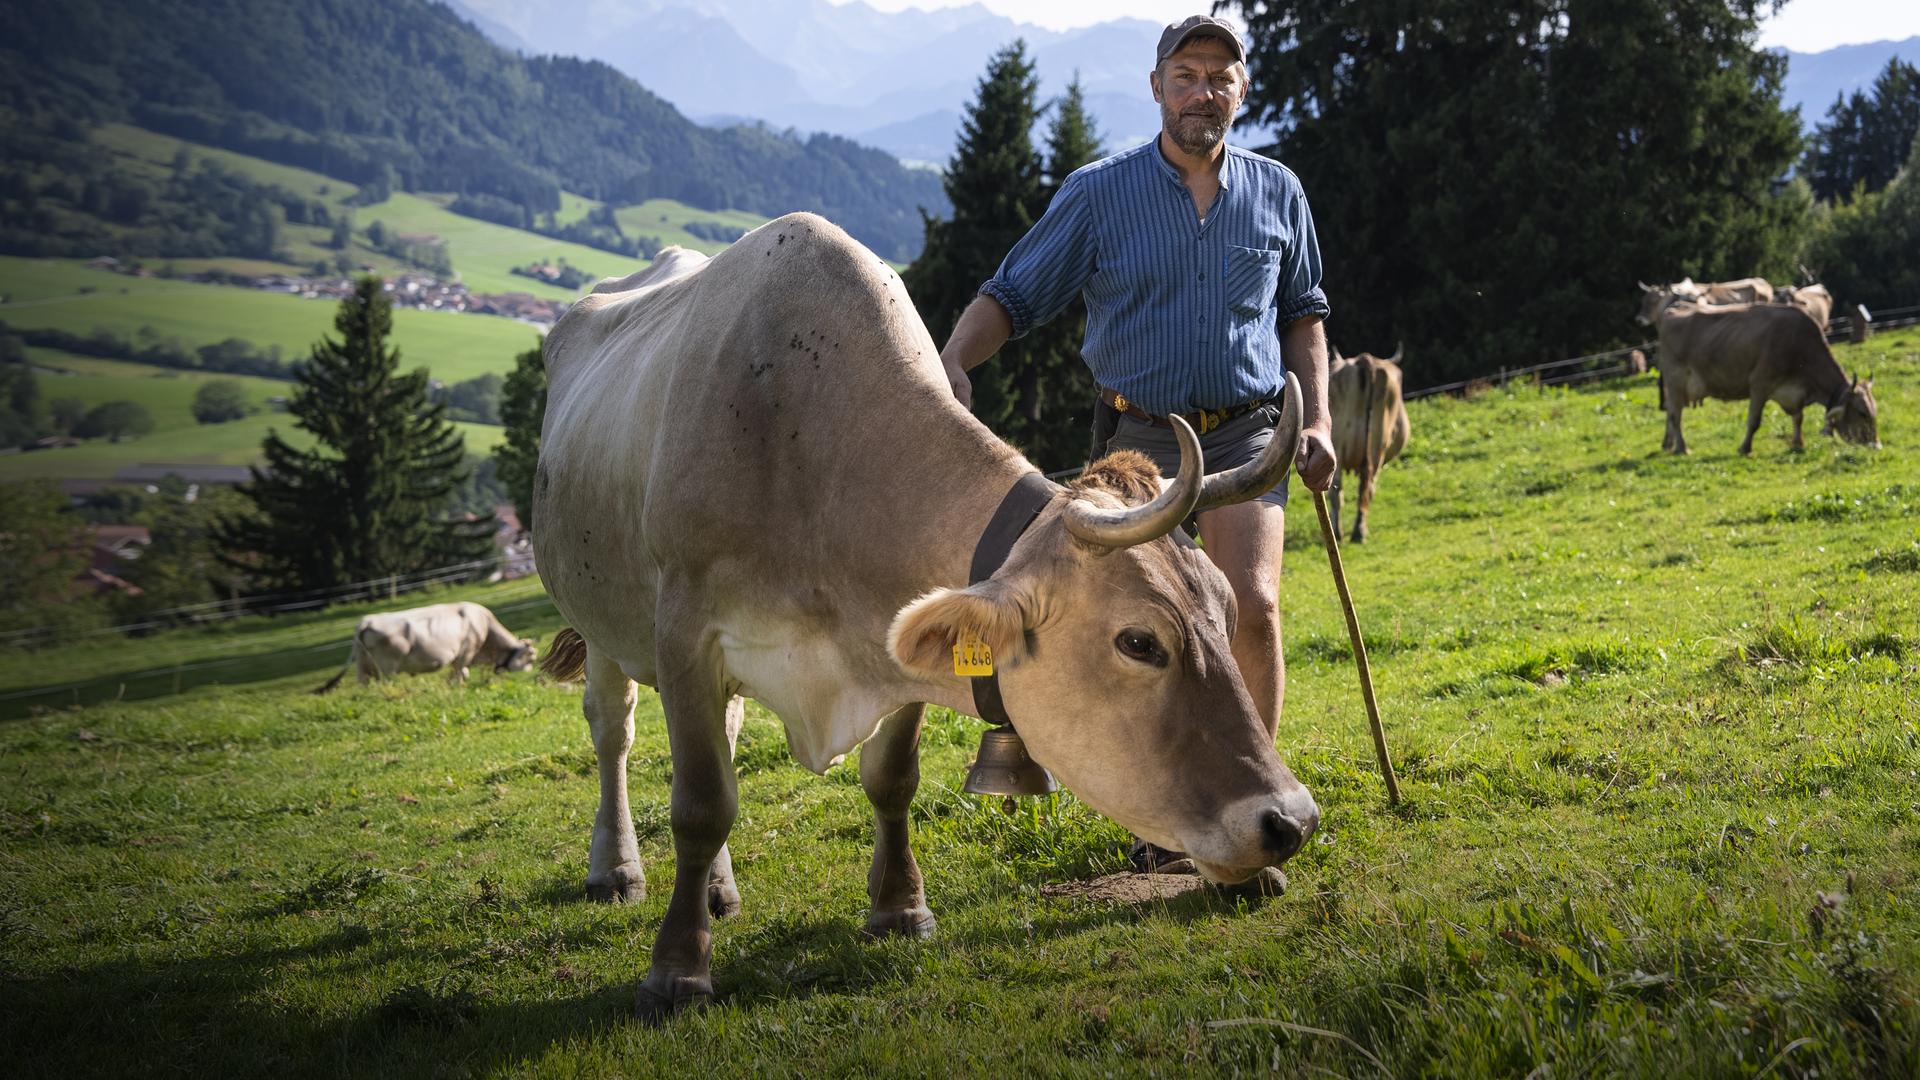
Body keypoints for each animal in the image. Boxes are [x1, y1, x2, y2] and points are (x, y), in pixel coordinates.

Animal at [314, 601, 536, 692]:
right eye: (530, 657)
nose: (530, 673)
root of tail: (365, 621)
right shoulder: (466, 652)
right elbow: (460, 674)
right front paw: (458, 687)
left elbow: (459, 674)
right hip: (388, 665)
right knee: (389, 682)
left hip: (364, 663)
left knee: (364, 682)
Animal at [532, 214, 1321, 1020]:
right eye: (1139, 641)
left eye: (1226, 611)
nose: (1290, 820)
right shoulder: (687, 635)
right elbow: (700, 803)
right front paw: (676, 971)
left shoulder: (895, 642)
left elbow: (892, 779)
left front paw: (899, 909)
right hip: (602, 624)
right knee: (613, 732)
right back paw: (616, 869)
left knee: (723, 730)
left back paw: (719, 891)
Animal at [1325, 344, 1410, 542]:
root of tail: (1365, 360)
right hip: (1376, 445)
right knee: (1365, 487)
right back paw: (1358, 531)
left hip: (1340, 446)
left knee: (1339, 490)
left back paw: (1341, 531)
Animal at [1636, 287, 1878, 455]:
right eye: (1862, 413)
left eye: (1874, 410)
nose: (1877, 445)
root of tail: (1675, 308)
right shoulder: (1760, 383)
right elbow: (1754, 421)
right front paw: (1745, 448)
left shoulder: (1795, 392)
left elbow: (1798, 418)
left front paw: (1798, 444)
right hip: (1675, 379)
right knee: (1675, 414)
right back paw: (1682, 448)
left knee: (1670, 412)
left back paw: (1669, 444)